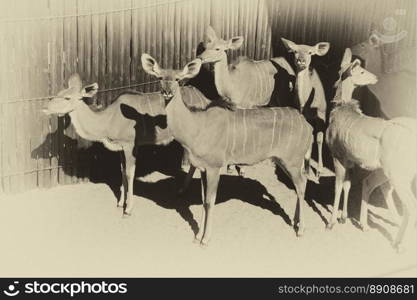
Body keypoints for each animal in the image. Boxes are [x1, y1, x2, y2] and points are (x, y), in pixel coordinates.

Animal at [42, 75, 210, 216]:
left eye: (67, 97)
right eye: (59, 93)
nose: (45, 108)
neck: (109, 119)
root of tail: (204, 98)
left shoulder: (130, 146)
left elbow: (130, 173)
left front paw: (128, 208)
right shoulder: (121, 148)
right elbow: (122, 171)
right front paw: (120, 203)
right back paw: (182, 190)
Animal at [141, 53, 314, 246]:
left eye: (178, 79)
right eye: (160, 77)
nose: (167, 92)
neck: (196, 127)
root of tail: (308, 127)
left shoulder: (214, 167)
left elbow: (210, 201)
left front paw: (205, 239)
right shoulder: (202, 168)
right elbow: (203, 200)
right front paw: (197, 236)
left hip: (292, 161)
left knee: (301, 185)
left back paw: (301, 229)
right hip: (286, 161)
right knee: (302, 183)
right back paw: (296, 221)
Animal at [280, 37, 328, 178]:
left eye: (310, 52)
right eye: (295, 51)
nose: (301, 60)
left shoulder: (321, 114)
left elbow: (319, 139)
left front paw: (319, 171)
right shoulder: (302, 115)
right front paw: (303, 168)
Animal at [326, 48, 414, 252]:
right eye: (361, 71)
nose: (375, 78)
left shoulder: (337, 154)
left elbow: (338, 185)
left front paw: (331, 222)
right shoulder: (349, 158)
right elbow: (347, 185)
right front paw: (343, 217)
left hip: (397, 172)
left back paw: (399, 243)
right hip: (389, 171)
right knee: (375, 185)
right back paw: (368, 226)